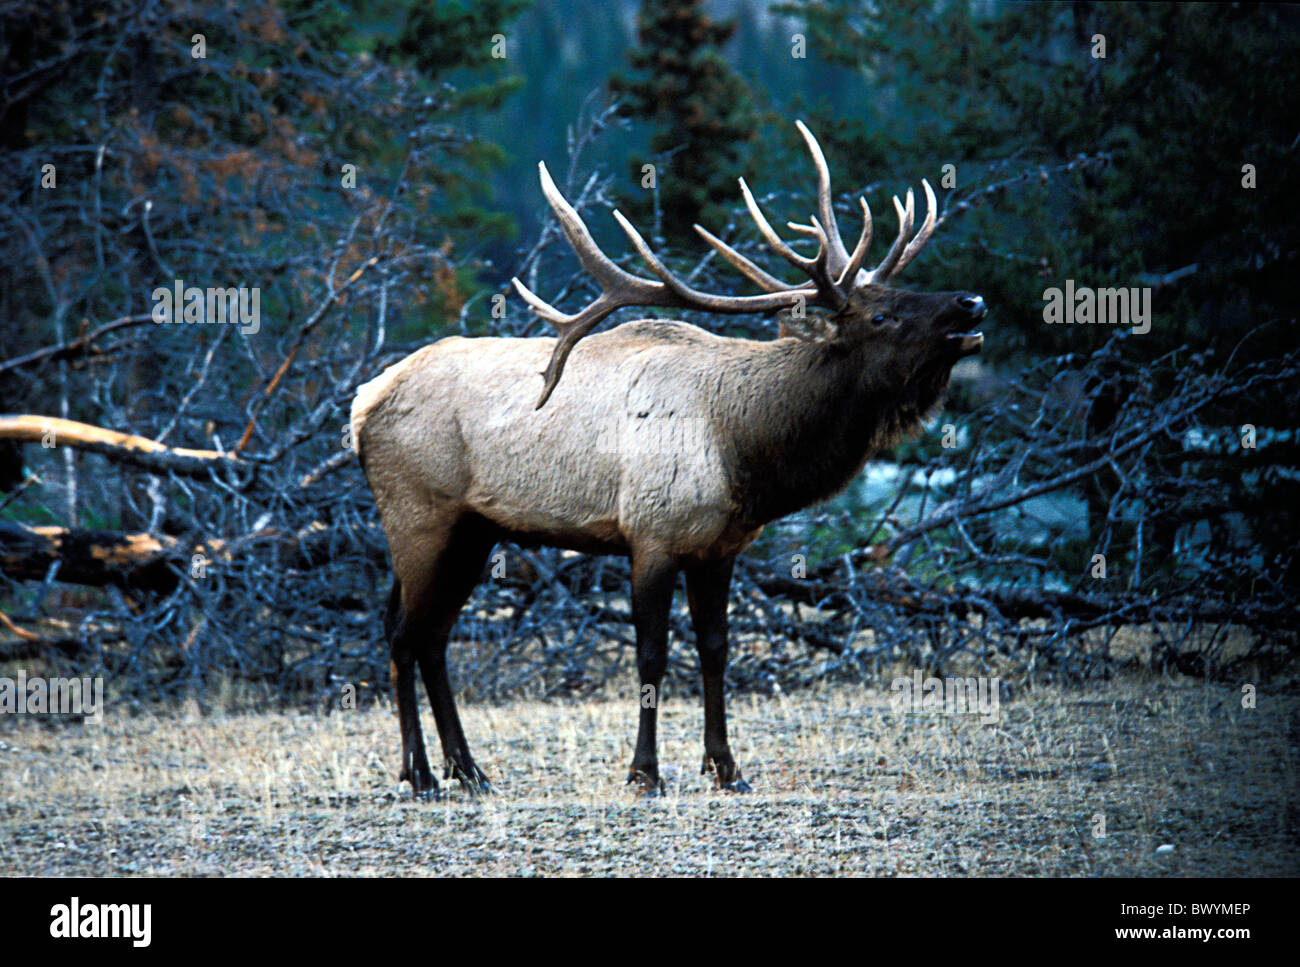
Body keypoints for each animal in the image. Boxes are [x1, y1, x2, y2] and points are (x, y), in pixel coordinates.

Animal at [351, 120, 977, 795]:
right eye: (882, 315)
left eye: (904, 290)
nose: (969, 302)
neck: (744, 451)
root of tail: (363, 404)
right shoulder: (651, 533)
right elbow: (651, 655)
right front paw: (645, 773)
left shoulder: (720, 548)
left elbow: (715, 648)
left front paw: (726, 768)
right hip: (420, 515)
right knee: (404, 632)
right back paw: (420, 772)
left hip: (475, 531)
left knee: (432, 634)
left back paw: (468, 770)